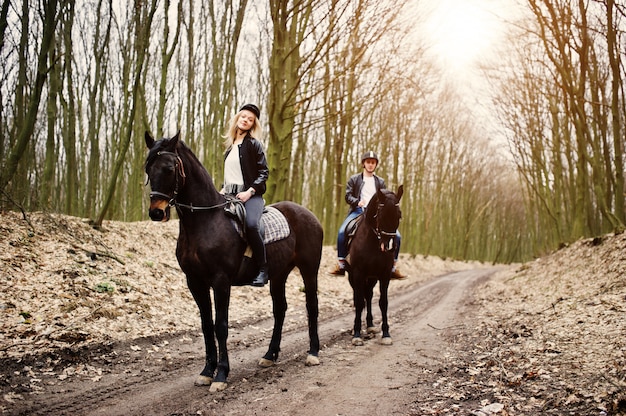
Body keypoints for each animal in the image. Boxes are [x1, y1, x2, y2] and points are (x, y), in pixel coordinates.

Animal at [144, 132, 324, 392]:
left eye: (169, 168)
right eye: (148, 168)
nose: (156, 212)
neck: (206, 220)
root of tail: (310, 215)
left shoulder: (221, 281)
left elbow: (221, 326)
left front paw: (221, 375)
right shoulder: (195, 282)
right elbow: (206, 325)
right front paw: (206, 372)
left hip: (309, 270)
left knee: (312, 306)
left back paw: (313, 352)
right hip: (278, 274)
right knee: (280, 310)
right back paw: (269, 356)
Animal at [344, 184, 402, 344]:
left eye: (399, 215)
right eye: (381, 215)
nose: (390, 247)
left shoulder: (384, 274)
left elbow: (383, 302)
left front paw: (386, 334)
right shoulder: (358, 274)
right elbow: (358, 302)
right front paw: (357, 334)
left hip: (372, 278)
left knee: (369, 296)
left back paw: (370, 325)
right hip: (354, 277)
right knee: (359, 298)